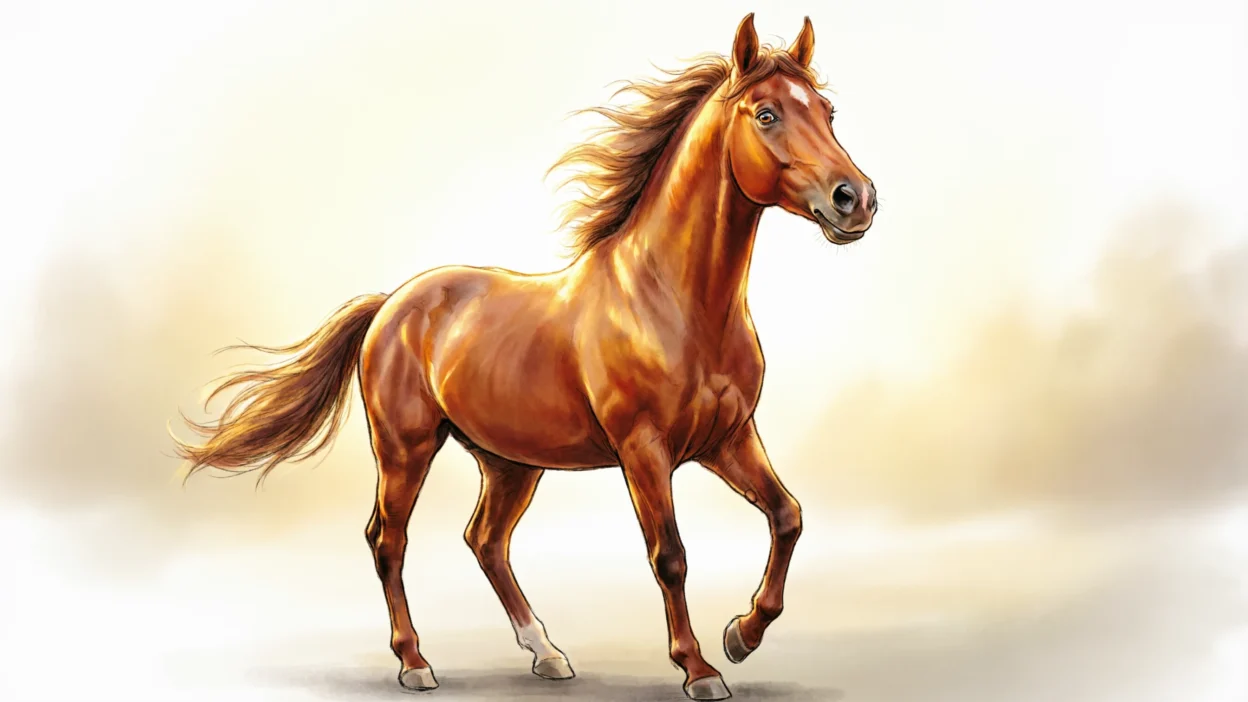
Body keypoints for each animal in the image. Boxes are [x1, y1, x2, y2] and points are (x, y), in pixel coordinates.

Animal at [173, 13, 876, 701]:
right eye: (767, 114)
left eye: (828, 111)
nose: (856, 199)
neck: (675, 302)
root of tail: (390, 305)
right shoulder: (644, 450)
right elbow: (670, 555)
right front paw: (700, 669)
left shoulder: (728, 439)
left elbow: (788, 516)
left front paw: (741, 635)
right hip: (406, 447)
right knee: (388, 540)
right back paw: (416, 663)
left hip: (510, 462)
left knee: (485, 541)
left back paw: (548, 654)